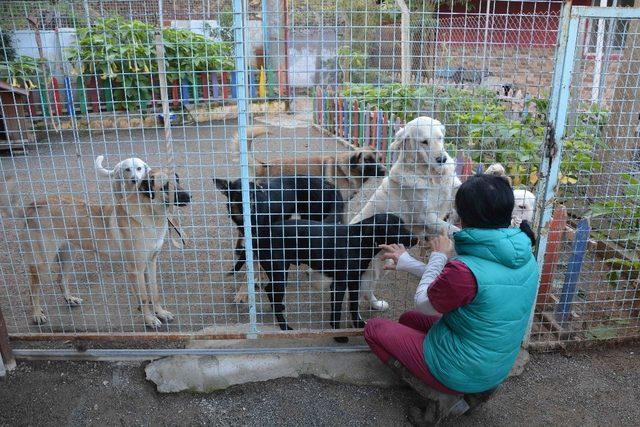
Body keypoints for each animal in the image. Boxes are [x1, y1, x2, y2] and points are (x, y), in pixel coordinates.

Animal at [0, 170, 190, 328]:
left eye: (178, 180)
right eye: (165, 186)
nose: (190, 196)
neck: (149, 213)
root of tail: (33, 205)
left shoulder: (151, 263)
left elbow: (154, 292)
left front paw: (160, 312)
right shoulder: (135, 269)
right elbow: (143, 298)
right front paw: (150, 319)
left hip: (68, 255)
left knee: (61, 279)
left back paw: (69, 299)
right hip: (42, 263)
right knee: (33, 289)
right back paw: (36, 314)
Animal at [252, 213, 418, 342]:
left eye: (403, 224)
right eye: (394, 227)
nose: (416, 239)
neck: (358, 241)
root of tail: (261, 234)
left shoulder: (354, 281)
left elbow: (353, 305)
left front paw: (358, 324)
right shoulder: (339, 284)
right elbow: (337, 311)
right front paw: (338, 335)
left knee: (270, 290)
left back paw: (279, 309)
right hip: (279, 273)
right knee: (270, 290)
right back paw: (284, 326)